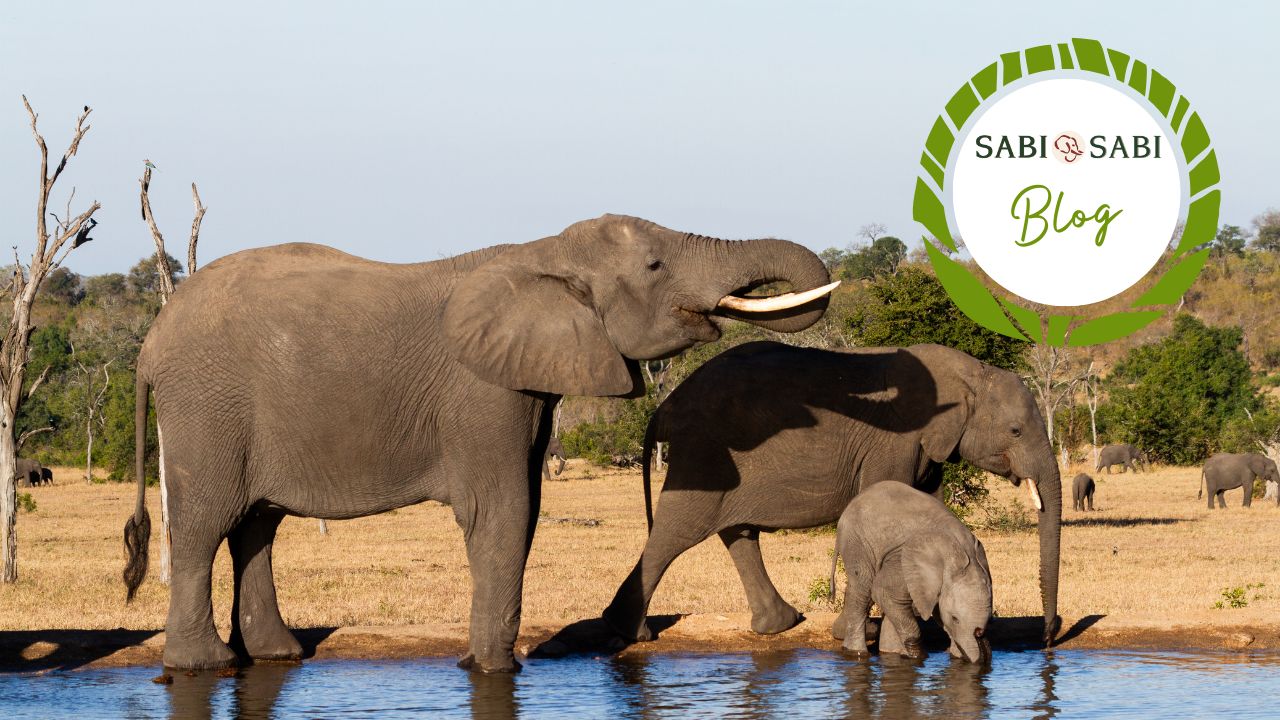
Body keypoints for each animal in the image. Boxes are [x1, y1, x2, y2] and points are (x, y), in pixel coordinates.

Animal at [120, 214, 836, 672]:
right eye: (656, 265)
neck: (544, 253)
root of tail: (150, 345)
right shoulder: (483, 391)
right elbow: (504, 511)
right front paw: (493, 670)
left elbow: (525, 509)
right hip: (207, 408)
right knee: (207, 522)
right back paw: (202, 666)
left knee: (256, 525)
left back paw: (278, 655)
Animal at [830, 482, 992, 663]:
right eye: (954, 618)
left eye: (989, 621)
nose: (979, 634)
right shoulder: (902, 556)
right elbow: (883, 592)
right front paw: (916, 657)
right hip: (858, 542)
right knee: (862, 590)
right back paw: (857, 653)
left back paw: (889, 653)